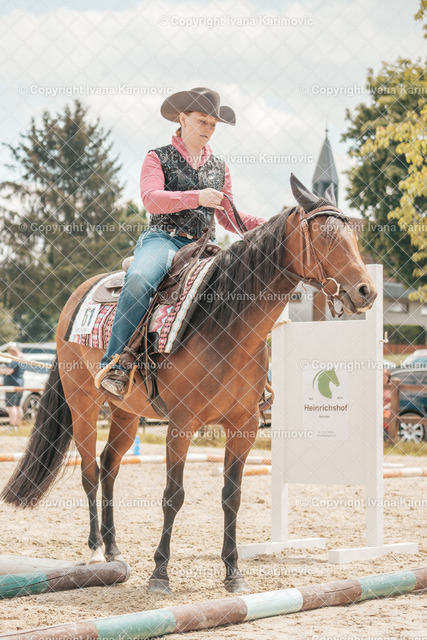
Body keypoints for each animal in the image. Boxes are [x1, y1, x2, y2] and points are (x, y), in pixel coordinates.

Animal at [1, 175, 377, 593]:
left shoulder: (244, 427)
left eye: (353, 235)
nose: (366, 291)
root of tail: (78, 296)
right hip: (82, 403)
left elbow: (232, 496)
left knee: (110, 465)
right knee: (89, 471)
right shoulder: (181, 425)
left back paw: (114, 551)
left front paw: (233, 572)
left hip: (125, 412)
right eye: (325, 236)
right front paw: (160, 573)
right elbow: (173, 496)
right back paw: (97, 550)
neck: (227, 326)